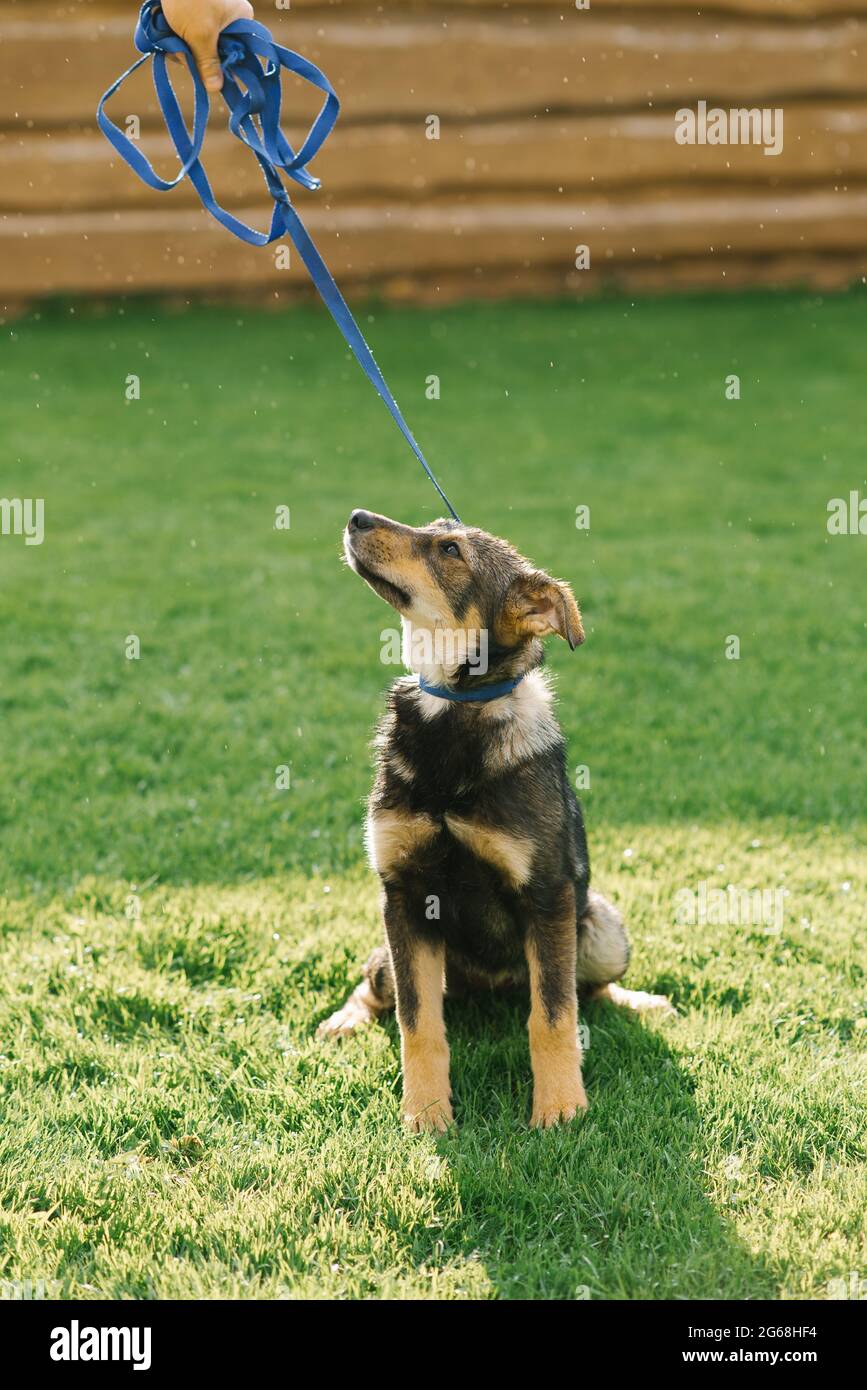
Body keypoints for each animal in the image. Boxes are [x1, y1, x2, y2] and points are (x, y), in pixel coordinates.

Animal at [319, 511, 669, 1128]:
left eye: (450, 550)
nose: (356, 517)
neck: (452, 709)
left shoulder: (547, 894)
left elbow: (552, 1015)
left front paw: (560, 1109)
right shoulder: (403, 895)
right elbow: (417, 1022)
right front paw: (426, 1114)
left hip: (601, 927)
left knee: (588, 991)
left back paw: (640, 1003)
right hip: (389, 952)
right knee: (377, 989)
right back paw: (346, 1020)